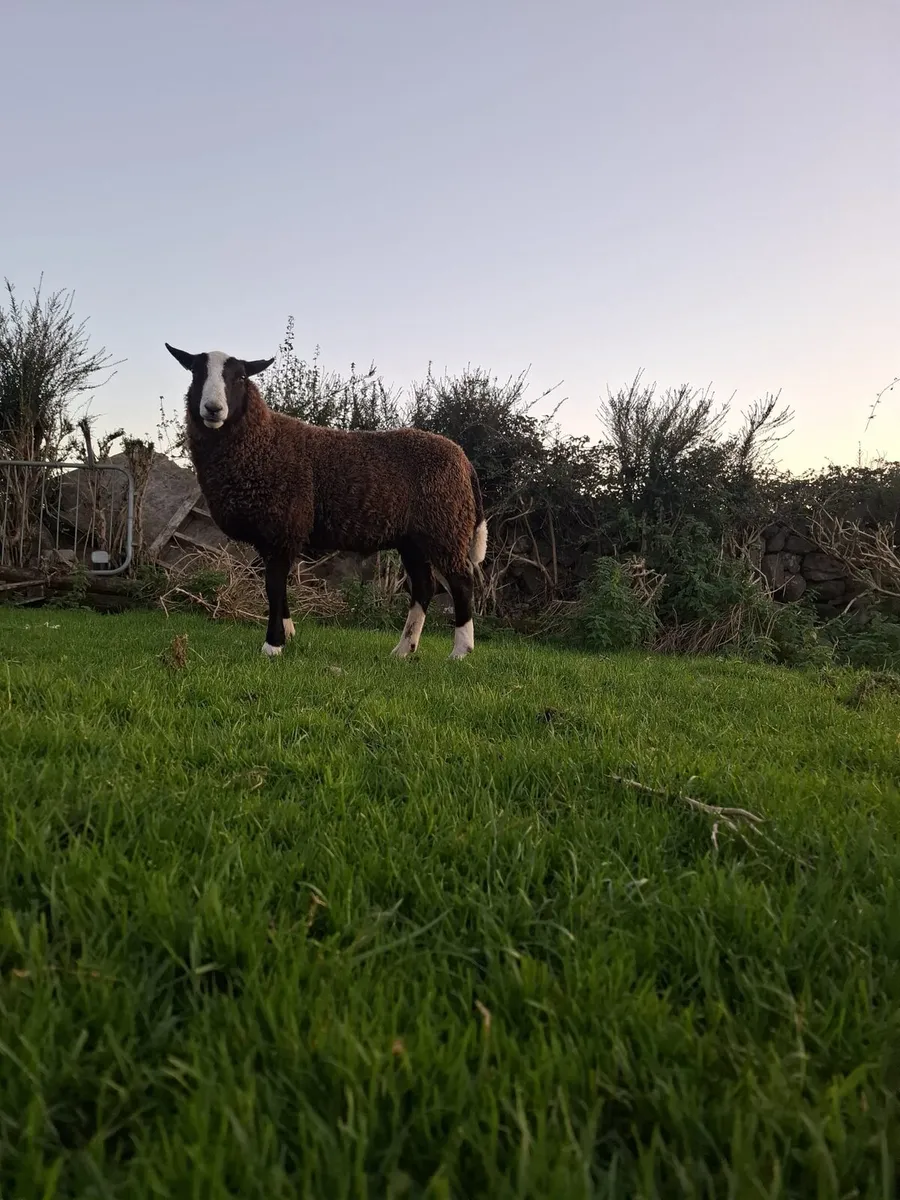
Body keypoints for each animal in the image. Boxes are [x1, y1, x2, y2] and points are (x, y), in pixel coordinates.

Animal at [164, 343, 488, 660]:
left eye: (241, 377)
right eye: (196, 373)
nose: (213, 409)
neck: (262, 442)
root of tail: (463, 459)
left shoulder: (284, 526)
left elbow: (274, 586)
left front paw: (273, 645)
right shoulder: (275, 533)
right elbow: (278, 587)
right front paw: (289, 634)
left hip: (445, 525)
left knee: (461, 581)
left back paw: (460, 651)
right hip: (414, 538)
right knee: (424, 586)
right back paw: (403, 650)